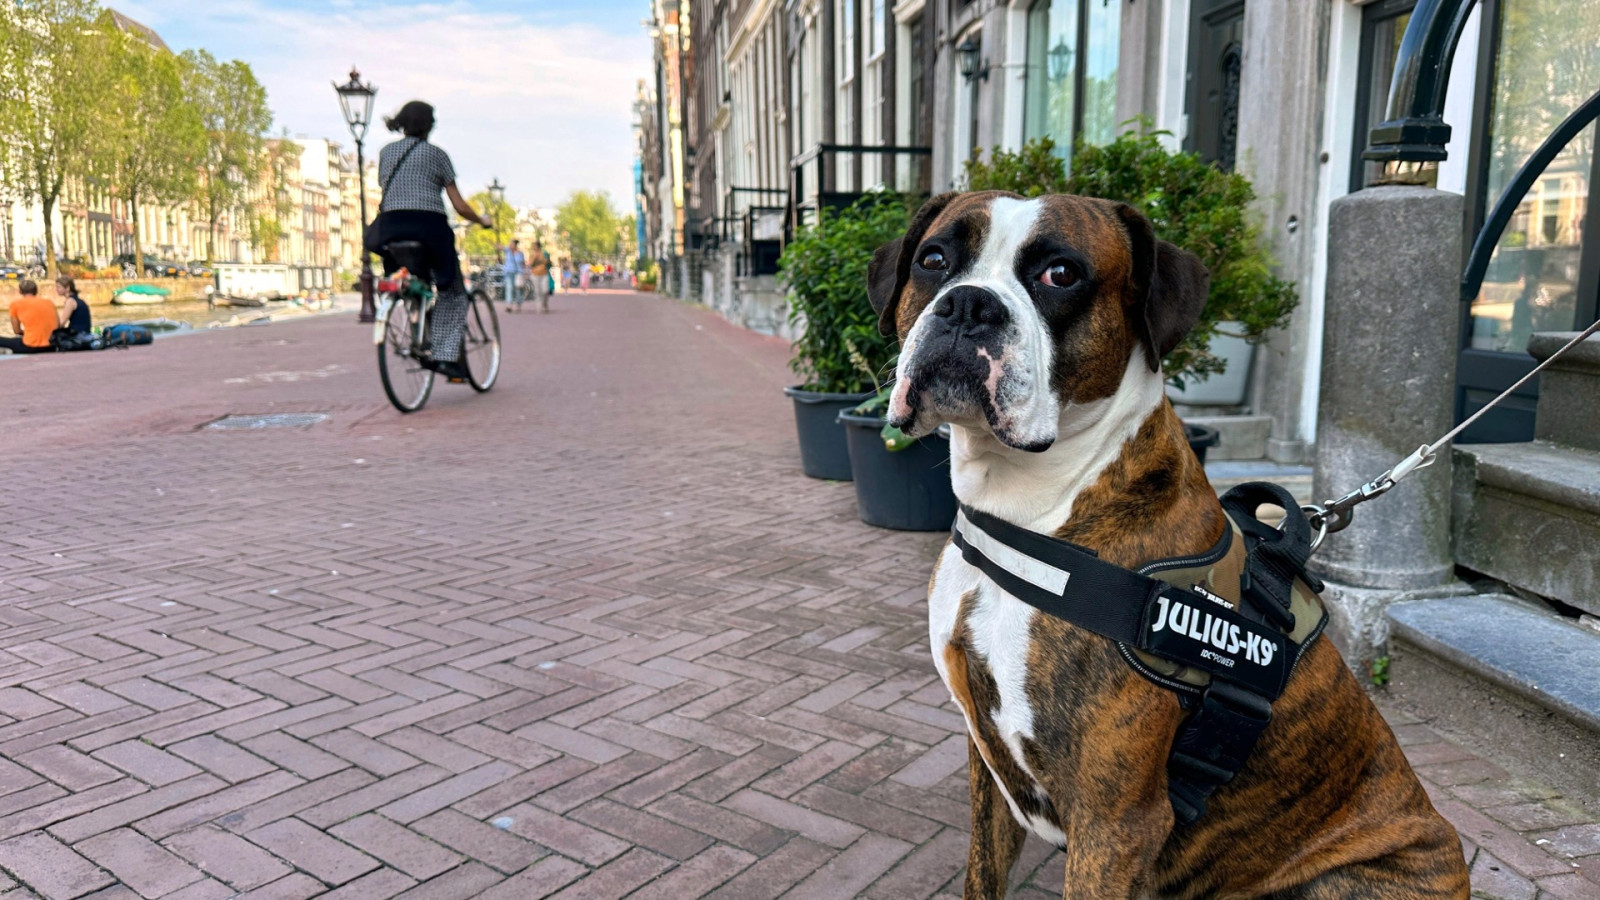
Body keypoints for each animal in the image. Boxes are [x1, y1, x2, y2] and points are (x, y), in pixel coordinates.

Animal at [876, 190, 1472, 896]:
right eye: (934, 260)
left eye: (1060, 273)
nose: (968, 305)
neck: (1026, 512)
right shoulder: (989, 767)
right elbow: (982, 876)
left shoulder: (1116, 821)